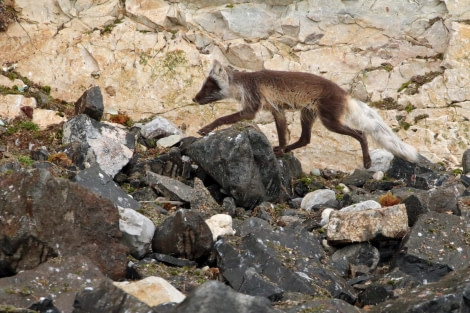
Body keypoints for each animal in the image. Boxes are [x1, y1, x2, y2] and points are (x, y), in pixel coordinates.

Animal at [192, 60, 418, 168]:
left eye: (208, 87)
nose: (194, 99)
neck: (242, 85)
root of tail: (346, 94)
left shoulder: (251, 107)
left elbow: (222, 118)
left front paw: (206, 129)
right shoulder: (277, 110)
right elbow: (282, 134)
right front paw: (281, 150)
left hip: (330, 121)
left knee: (361, 134)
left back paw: (367, 162)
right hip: (307, 115)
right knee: (304, 139)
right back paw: (283, 150)